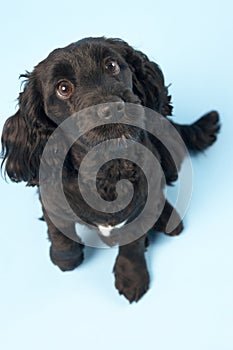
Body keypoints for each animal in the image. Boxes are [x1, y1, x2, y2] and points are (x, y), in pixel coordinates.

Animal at [0, 37, 219, 302]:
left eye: (111, 65)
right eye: (63, 88)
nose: (113, 108)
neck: (107, 169)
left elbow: (133, 242)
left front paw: (131, 275)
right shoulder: (51, 199)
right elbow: (59, 234)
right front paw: (65, 260)